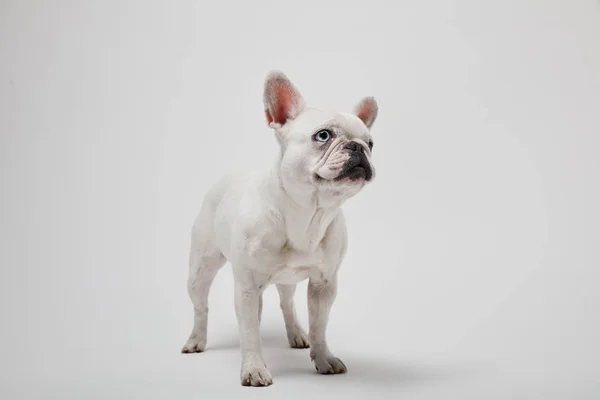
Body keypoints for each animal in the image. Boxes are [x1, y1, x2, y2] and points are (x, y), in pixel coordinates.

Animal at [180, 70, 378, 386]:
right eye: (323, 135)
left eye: (371, 144)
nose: (358, 147)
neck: (308, 213)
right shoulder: (246, 287)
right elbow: (249, 333)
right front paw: (253, 368)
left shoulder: (324, 284)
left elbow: (319, 326)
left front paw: (323, 358)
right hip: (201, 269)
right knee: (201, 307)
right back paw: (196, 340)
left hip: (287, 280)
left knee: (287, 303)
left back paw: (297, 334)